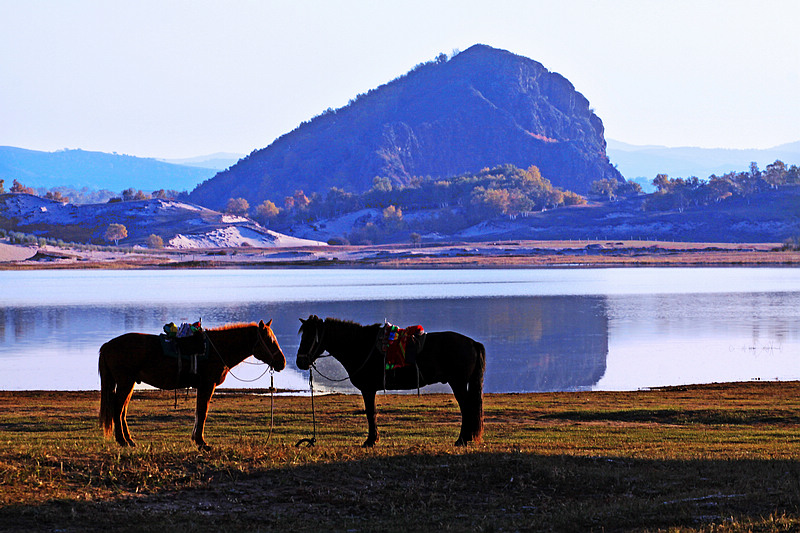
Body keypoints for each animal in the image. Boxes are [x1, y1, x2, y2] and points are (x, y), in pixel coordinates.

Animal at [98, 320, 284, 448]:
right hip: (125, 382)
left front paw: (197, 439)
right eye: (269, 340)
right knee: (117, 408)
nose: (282, 362)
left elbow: (199, 412)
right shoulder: (207, 385)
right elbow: (202, 412)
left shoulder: (203, 387)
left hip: (128, 384)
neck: (217, 349)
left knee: (122, 410)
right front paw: (201, 442)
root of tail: (108, 345)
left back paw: (129, 440)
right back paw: (122, 441)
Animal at [296, 316, 484, 444]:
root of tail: (473, 343)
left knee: (466, 408)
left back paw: (462, 440)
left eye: (309, 337)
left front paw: (371, 441)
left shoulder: (368, 389)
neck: (359, 346)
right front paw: (373, 439)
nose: (300, 362)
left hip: (458, 383)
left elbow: (370, 412)